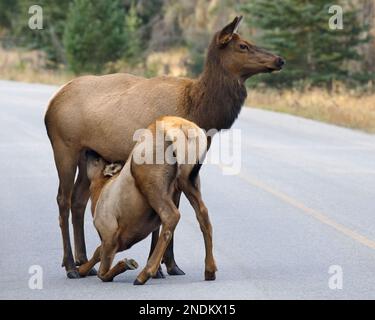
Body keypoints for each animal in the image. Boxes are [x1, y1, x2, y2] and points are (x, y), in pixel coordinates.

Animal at [79, 117, 217, 284]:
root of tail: (183, 129)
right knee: (203, 214)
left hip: (151, 183)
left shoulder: (109, 233)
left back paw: (145, 273)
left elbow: (102, 271)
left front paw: (125, 264)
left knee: (171, 215)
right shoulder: (119, 241)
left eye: (98, 159)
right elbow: (97, 253)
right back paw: (210, 270)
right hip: (189, 181)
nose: (88, 150)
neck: (98, 194)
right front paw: (82, 270)